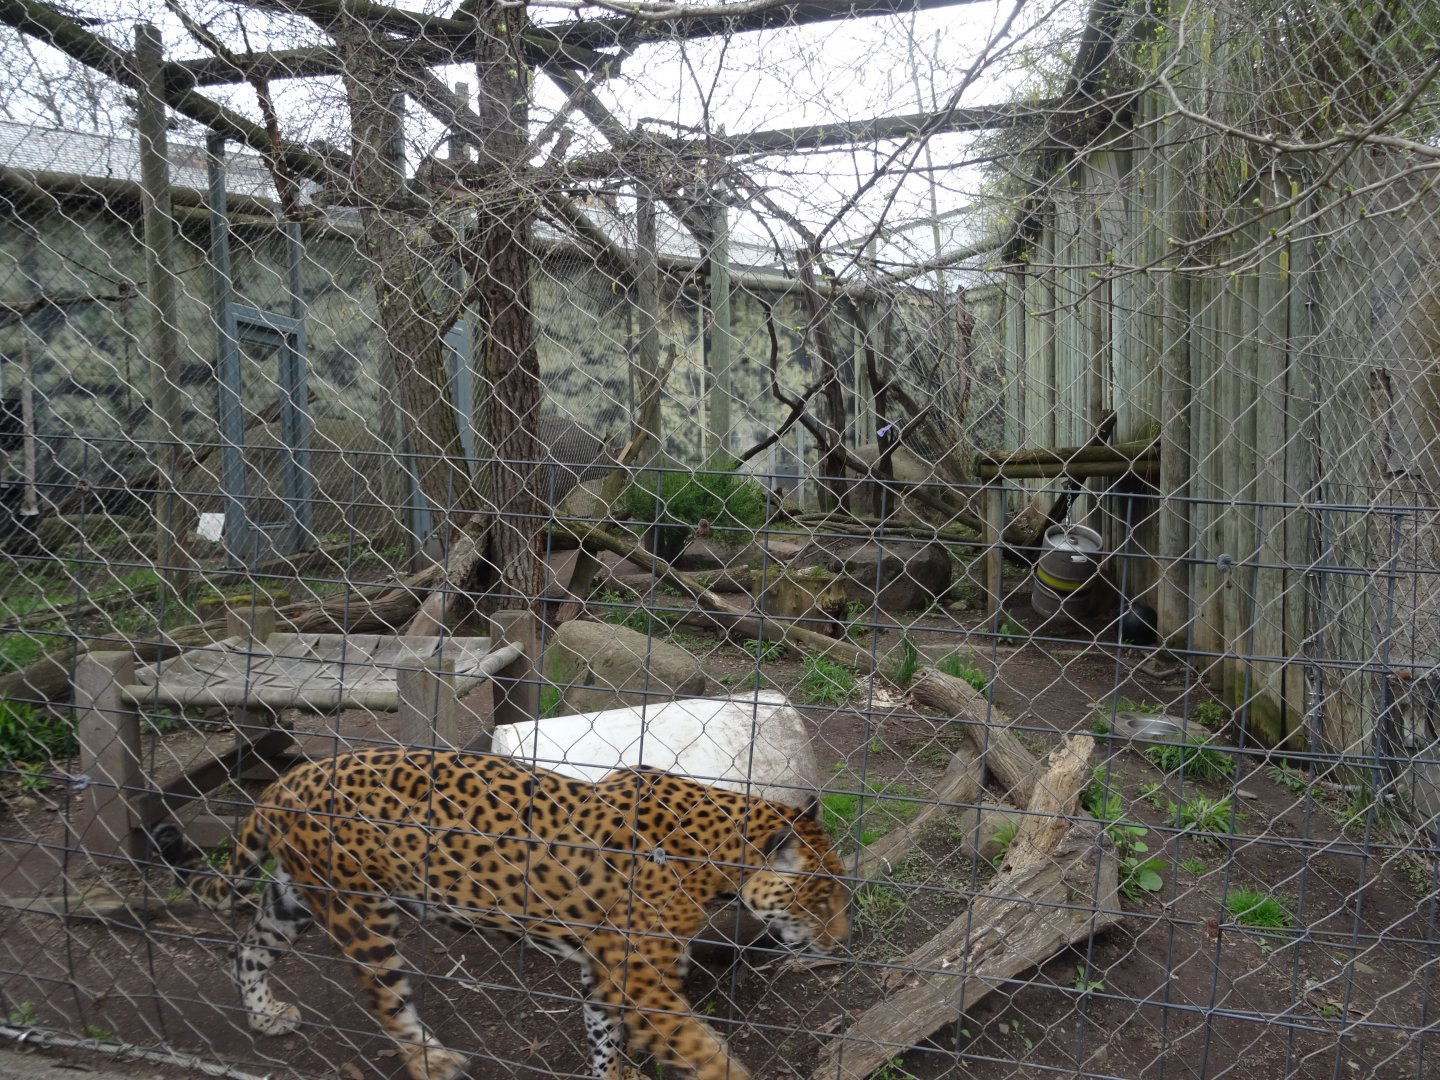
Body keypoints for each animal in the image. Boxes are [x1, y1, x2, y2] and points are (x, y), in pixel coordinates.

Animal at [149, 747, 849, 1080]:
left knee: (246, 946)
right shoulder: (643, 975)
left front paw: (614, 1074)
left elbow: (604, 1033)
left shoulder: (607, 968)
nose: (841, 943)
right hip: (361, 913)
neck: (718, 851)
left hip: (297, 895)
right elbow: (696, 1044)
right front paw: (725, 1074)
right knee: (387, 1001)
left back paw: (264, 1015)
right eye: (820, 899)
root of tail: (282, 784)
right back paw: (431, 1062)